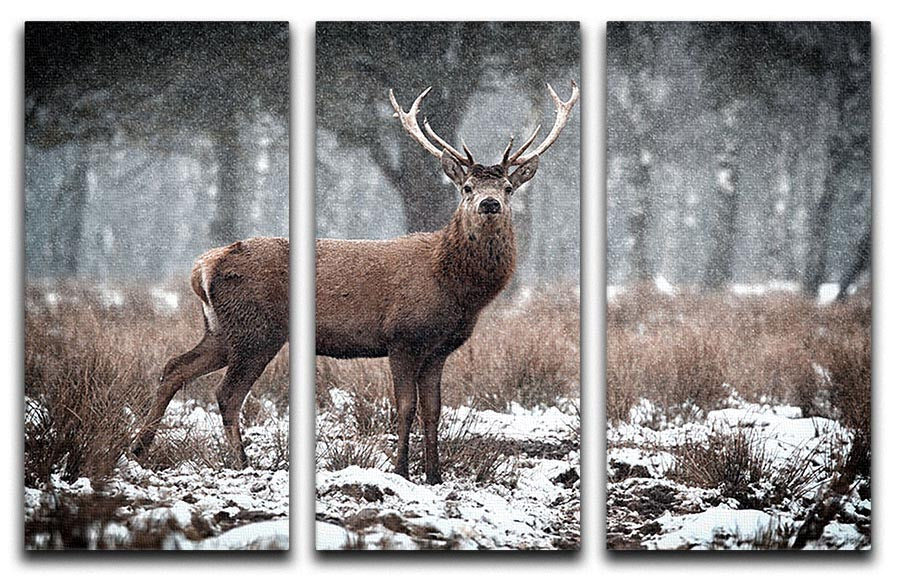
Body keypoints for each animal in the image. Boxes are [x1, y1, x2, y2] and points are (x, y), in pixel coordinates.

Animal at [132, 236, 289, 469]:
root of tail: (200, 270)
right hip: (256, 334)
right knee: (228, 393)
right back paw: (242, 462)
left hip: (221, 334)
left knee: (175, 366)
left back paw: (139, 448)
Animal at [316, 81, 578, 484]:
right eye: (467, 186)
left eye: (507, 187)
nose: (489, 203)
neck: (454, 292)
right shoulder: (401, 337)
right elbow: (405, 406)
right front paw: (401, 471)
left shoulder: (438, 348)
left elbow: (434, 409)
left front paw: (435, 475)